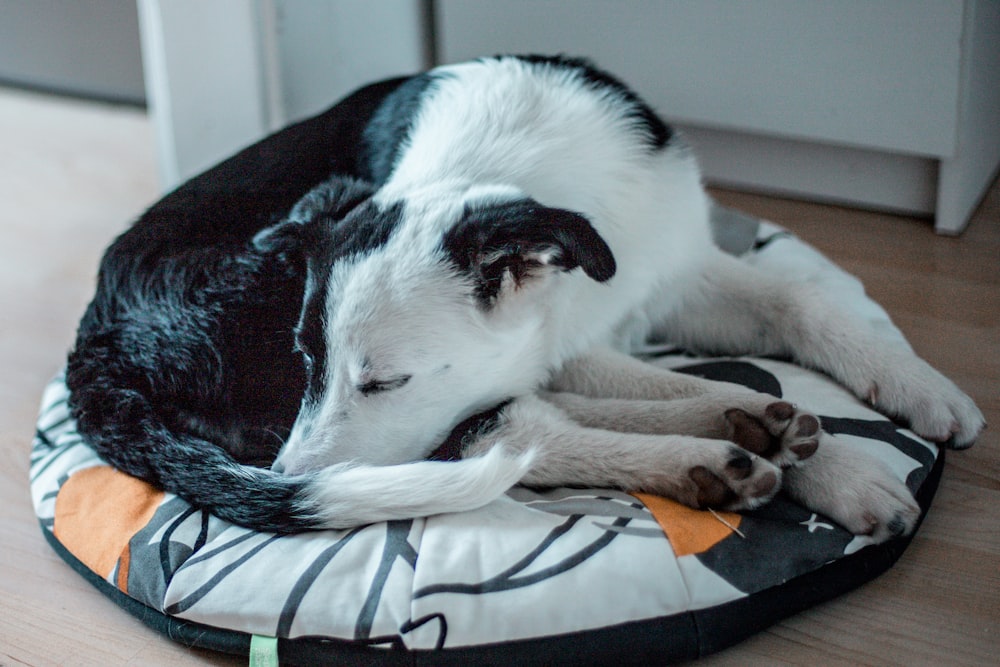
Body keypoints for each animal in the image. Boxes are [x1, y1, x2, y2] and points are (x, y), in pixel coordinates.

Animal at [68, 54, 984, 540]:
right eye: (305, 362)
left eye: (383, 380)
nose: (283, 476)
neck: (495, 168)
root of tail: (95, 344)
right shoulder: (559, 341)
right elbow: (648, 382)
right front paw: (832, 463)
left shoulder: (676, 269)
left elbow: (804, 303)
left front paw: (920, 386)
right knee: (511, 434)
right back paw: (712, 451)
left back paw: (741, 429)